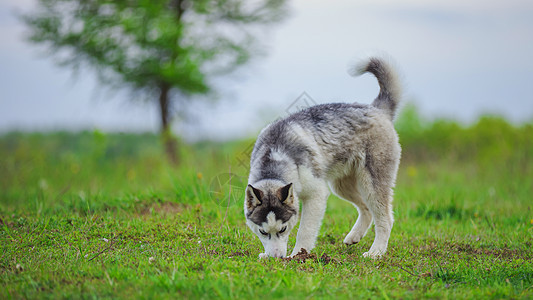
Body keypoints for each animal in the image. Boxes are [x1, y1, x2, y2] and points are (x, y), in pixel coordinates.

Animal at [243, 57, 402, 258]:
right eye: (263, 232)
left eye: (283, 229)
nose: (276, 258)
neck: (275, 156)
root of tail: (376, 109)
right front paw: (268, 254)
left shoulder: (316, 195)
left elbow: (304, 230)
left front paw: (297, 255)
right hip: (341, 186)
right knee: (366, 209)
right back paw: (355, 236)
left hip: (372, 184)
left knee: (385, 218)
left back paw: (376, 251)